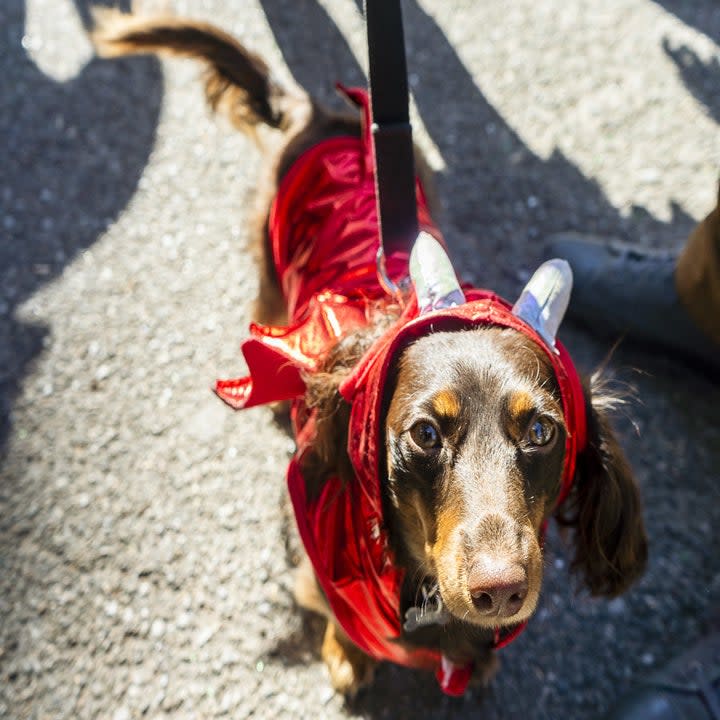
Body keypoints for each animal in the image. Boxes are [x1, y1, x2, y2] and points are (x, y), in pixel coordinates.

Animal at [93, 8, 648, 696]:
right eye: (426, 434)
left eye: (543, 431)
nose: (500, 591)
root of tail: (319, 115)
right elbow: (337, 615)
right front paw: (346, 656)